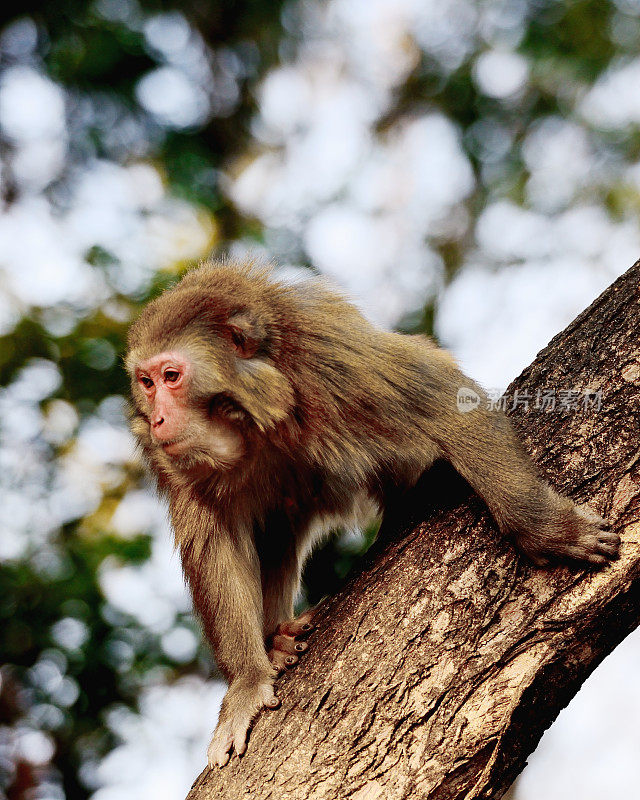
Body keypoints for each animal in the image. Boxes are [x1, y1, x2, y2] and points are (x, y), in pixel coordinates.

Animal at [125, 260, 620, 764]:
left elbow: (443, 400)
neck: (250, 416)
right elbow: (217, 543)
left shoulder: (328, 364)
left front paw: (546, 529)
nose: (157, 419)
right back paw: (274, 641)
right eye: (146, 382)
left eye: (171, 376)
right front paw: (247, 679)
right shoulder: (178, 460)